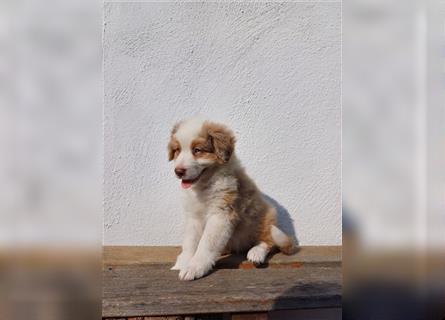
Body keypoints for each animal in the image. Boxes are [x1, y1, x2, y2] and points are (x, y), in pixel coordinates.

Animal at [168, 117, 296, 280]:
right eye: (177, 150)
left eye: (197, 150)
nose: (178, 171)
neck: (204, 186)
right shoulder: (193, 217)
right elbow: (190, 242)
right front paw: (183, 262)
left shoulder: (221, 213)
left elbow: (207, 244)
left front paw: (195, 267)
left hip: (266, 215)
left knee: (269, 240)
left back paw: (256, 253)